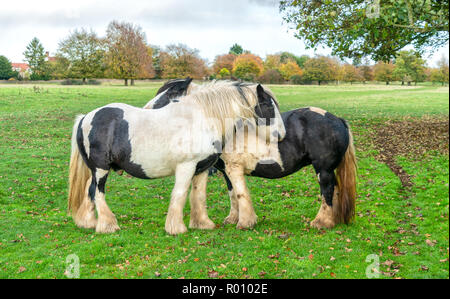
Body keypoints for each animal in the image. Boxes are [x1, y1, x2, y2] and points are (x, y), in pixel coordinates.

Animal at [67, 81, 284, 236]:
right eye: (267, 105)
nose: (281, 135)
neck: (201, 119)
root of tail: (86, 117)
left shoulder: (202, 168)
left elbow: (198, 195)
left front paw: (202, 223)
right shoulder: (186, 167)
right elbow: (179, 195)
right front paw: (176, 228)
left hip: (95, 171)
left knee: (89, 191)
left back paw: (88, 223)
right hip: (101, 170)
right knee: (98, 192)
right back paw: (107, 225)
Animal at [146, 79, 356, 230]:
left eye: (169, 97)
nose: (146, 112)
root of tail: (337, 119)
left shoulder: (234, 168)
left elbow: (241, 194)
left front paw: (245, 222)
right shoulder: (226, 171)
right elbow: (233, 194)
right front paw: (233, 219)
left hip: (323, 170)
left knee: (327, 191)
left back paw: (321, 222)